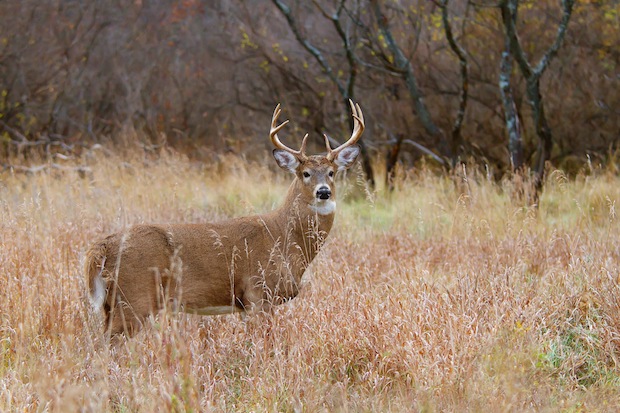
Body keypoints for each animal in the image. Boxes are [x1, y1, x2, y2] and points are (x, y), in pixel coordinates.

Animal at [83, 100, 364, 334]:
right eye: (305, 173)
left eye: (331, 172)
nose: (323, 192)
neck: (284, 236)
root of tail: (102, 247)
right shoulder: (258, 293)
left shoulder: (248, 303)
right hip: (134, 296)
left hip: (114, 302)